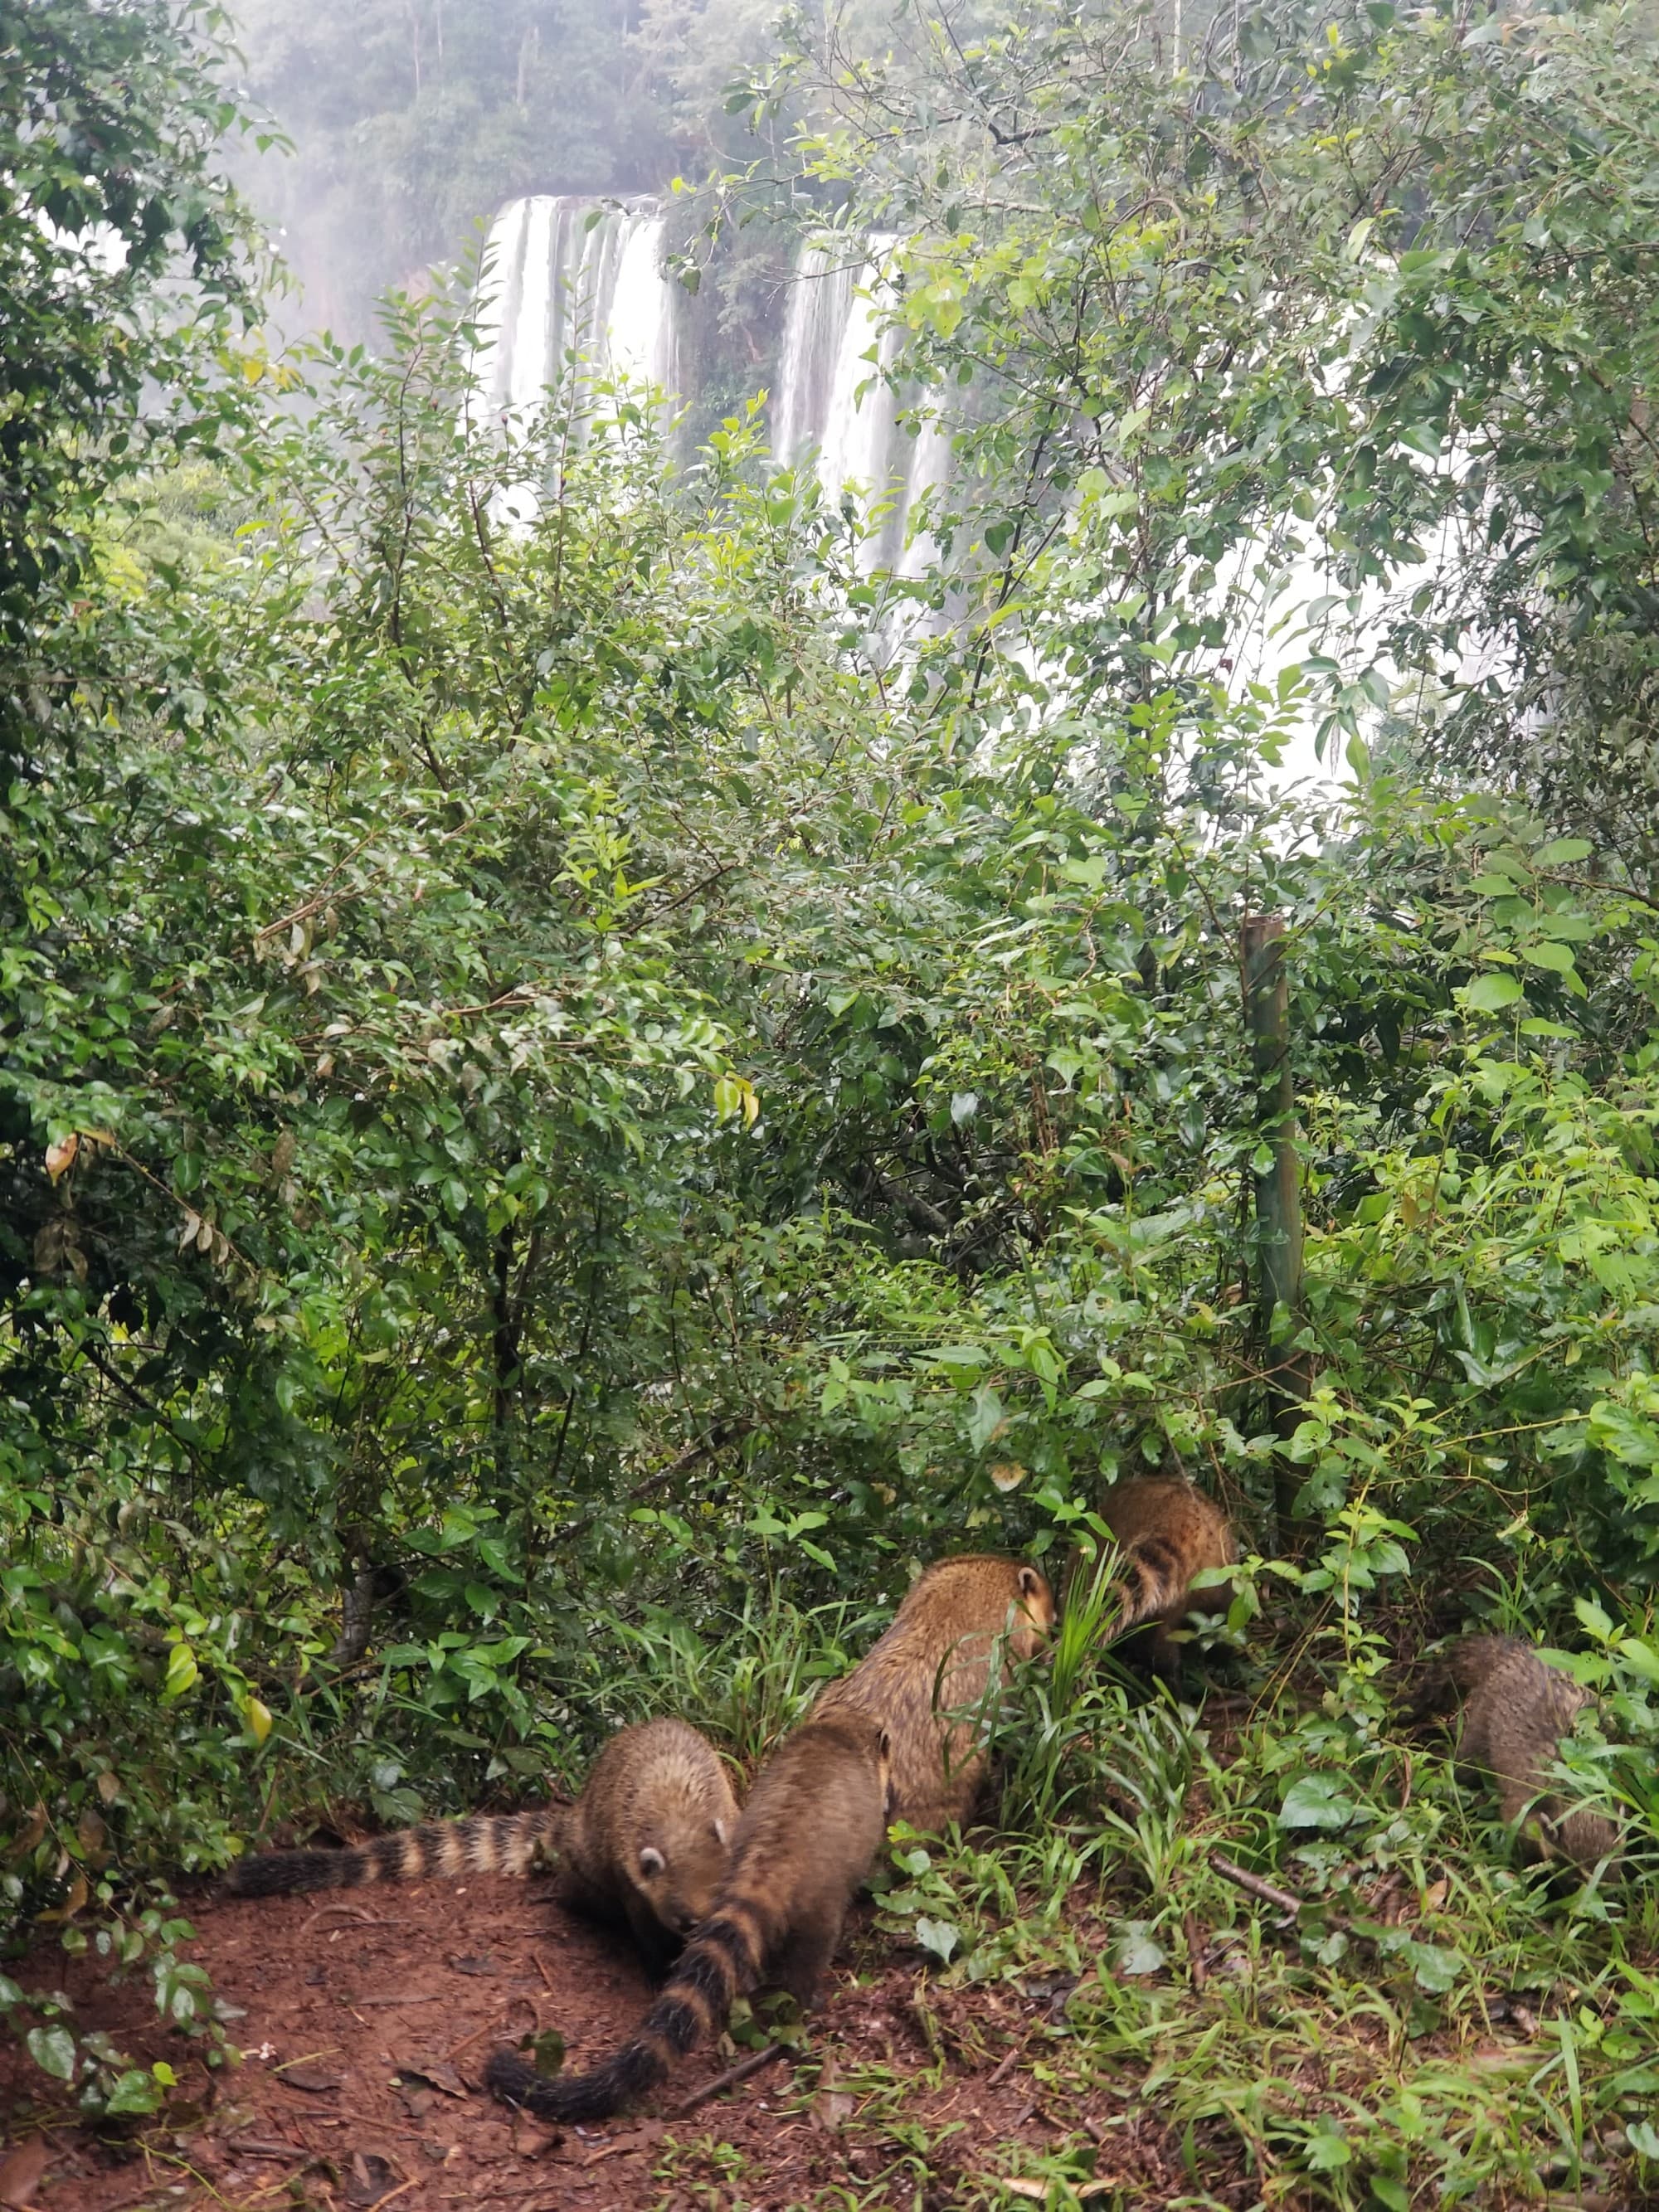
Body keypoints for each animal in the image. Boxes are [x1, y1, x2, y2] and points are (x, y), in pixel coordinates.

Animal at [223, 1717, 739, 1969]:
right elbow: (641, 1919)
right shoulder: (628, 1866)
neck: (677, 1817)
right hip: (588, 1851)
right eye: (685, 1920)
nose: (708, 1944)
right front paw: (660, 1964)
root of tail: (571, 1817)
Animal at [1411, 1635, 1619, 1869]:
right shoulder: (1523, 1805)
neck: (1576, 1783)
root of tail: (1516, 1653)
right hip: (1483, 1718)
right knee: (1467, 1764)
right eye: (1574, 1874)